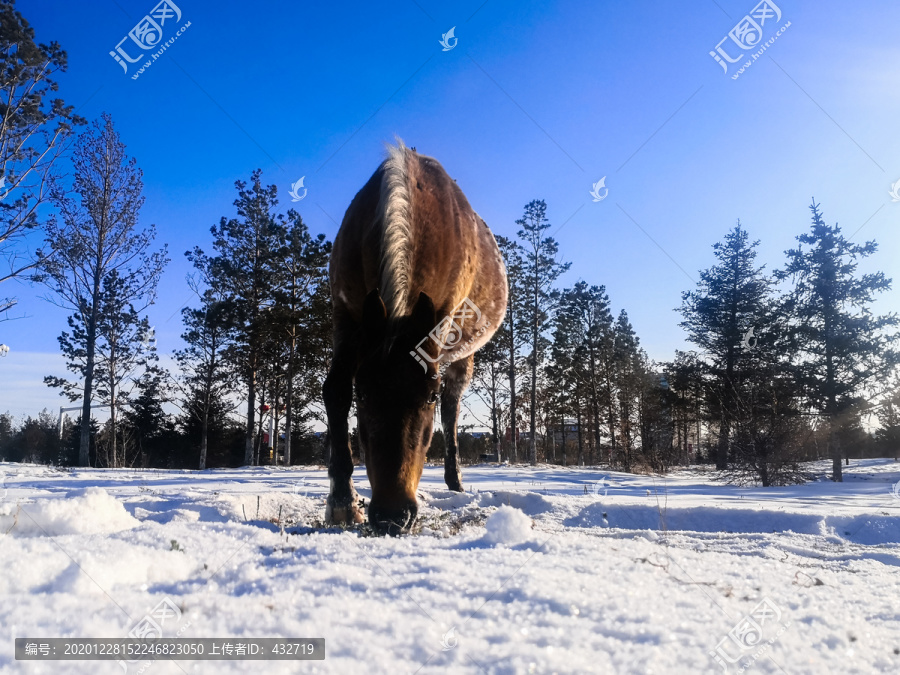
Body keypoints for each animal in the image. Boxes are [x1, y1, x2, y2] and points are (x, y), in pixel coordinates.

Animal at [322, 140, 506, 536]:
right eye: (364, 392)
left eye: (429, 395)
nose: (393, 516)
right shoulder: (346, 316)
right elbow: (335, 391)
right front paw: (342, 501)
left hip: (463, 356)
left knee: (452, 413)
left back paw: (455, 481)